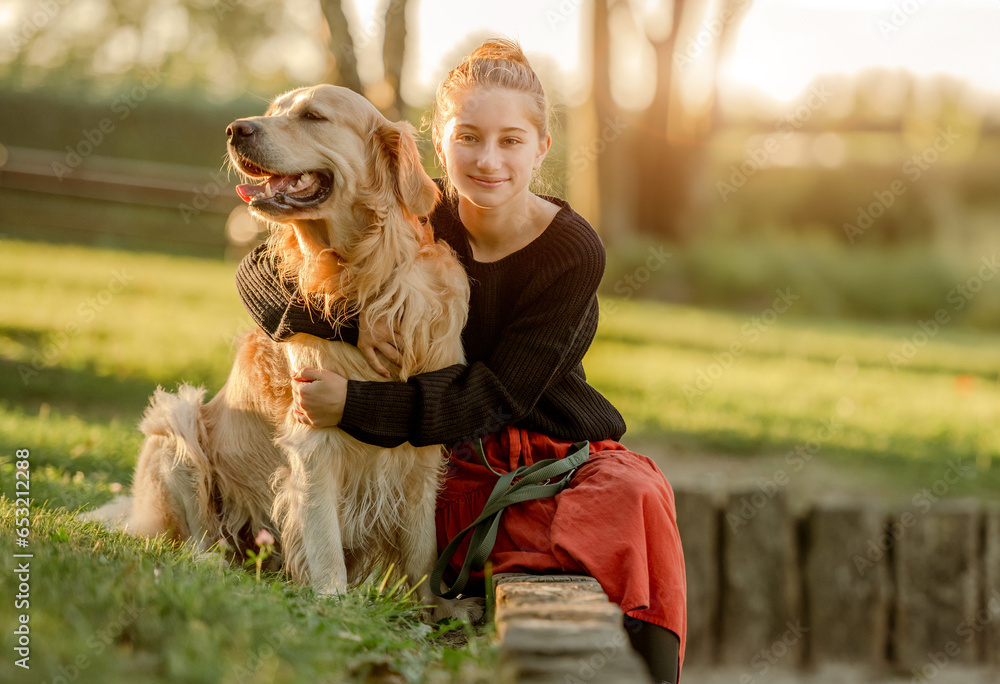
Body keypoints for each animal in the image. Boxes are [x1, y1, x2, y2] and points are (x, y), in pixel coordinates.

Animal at [86, 85, 476, 620]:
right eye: (273, 112)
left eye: (313, 116)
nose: (235, 129)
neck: (364, 276)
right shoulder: (314, 440)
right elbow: (324, 538)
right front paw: (333, 600)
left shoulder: (422, 442)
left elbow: (422, 548)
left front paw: (435, 607)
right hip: (176, 426)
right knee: (192, 540)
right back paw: (212, 561)